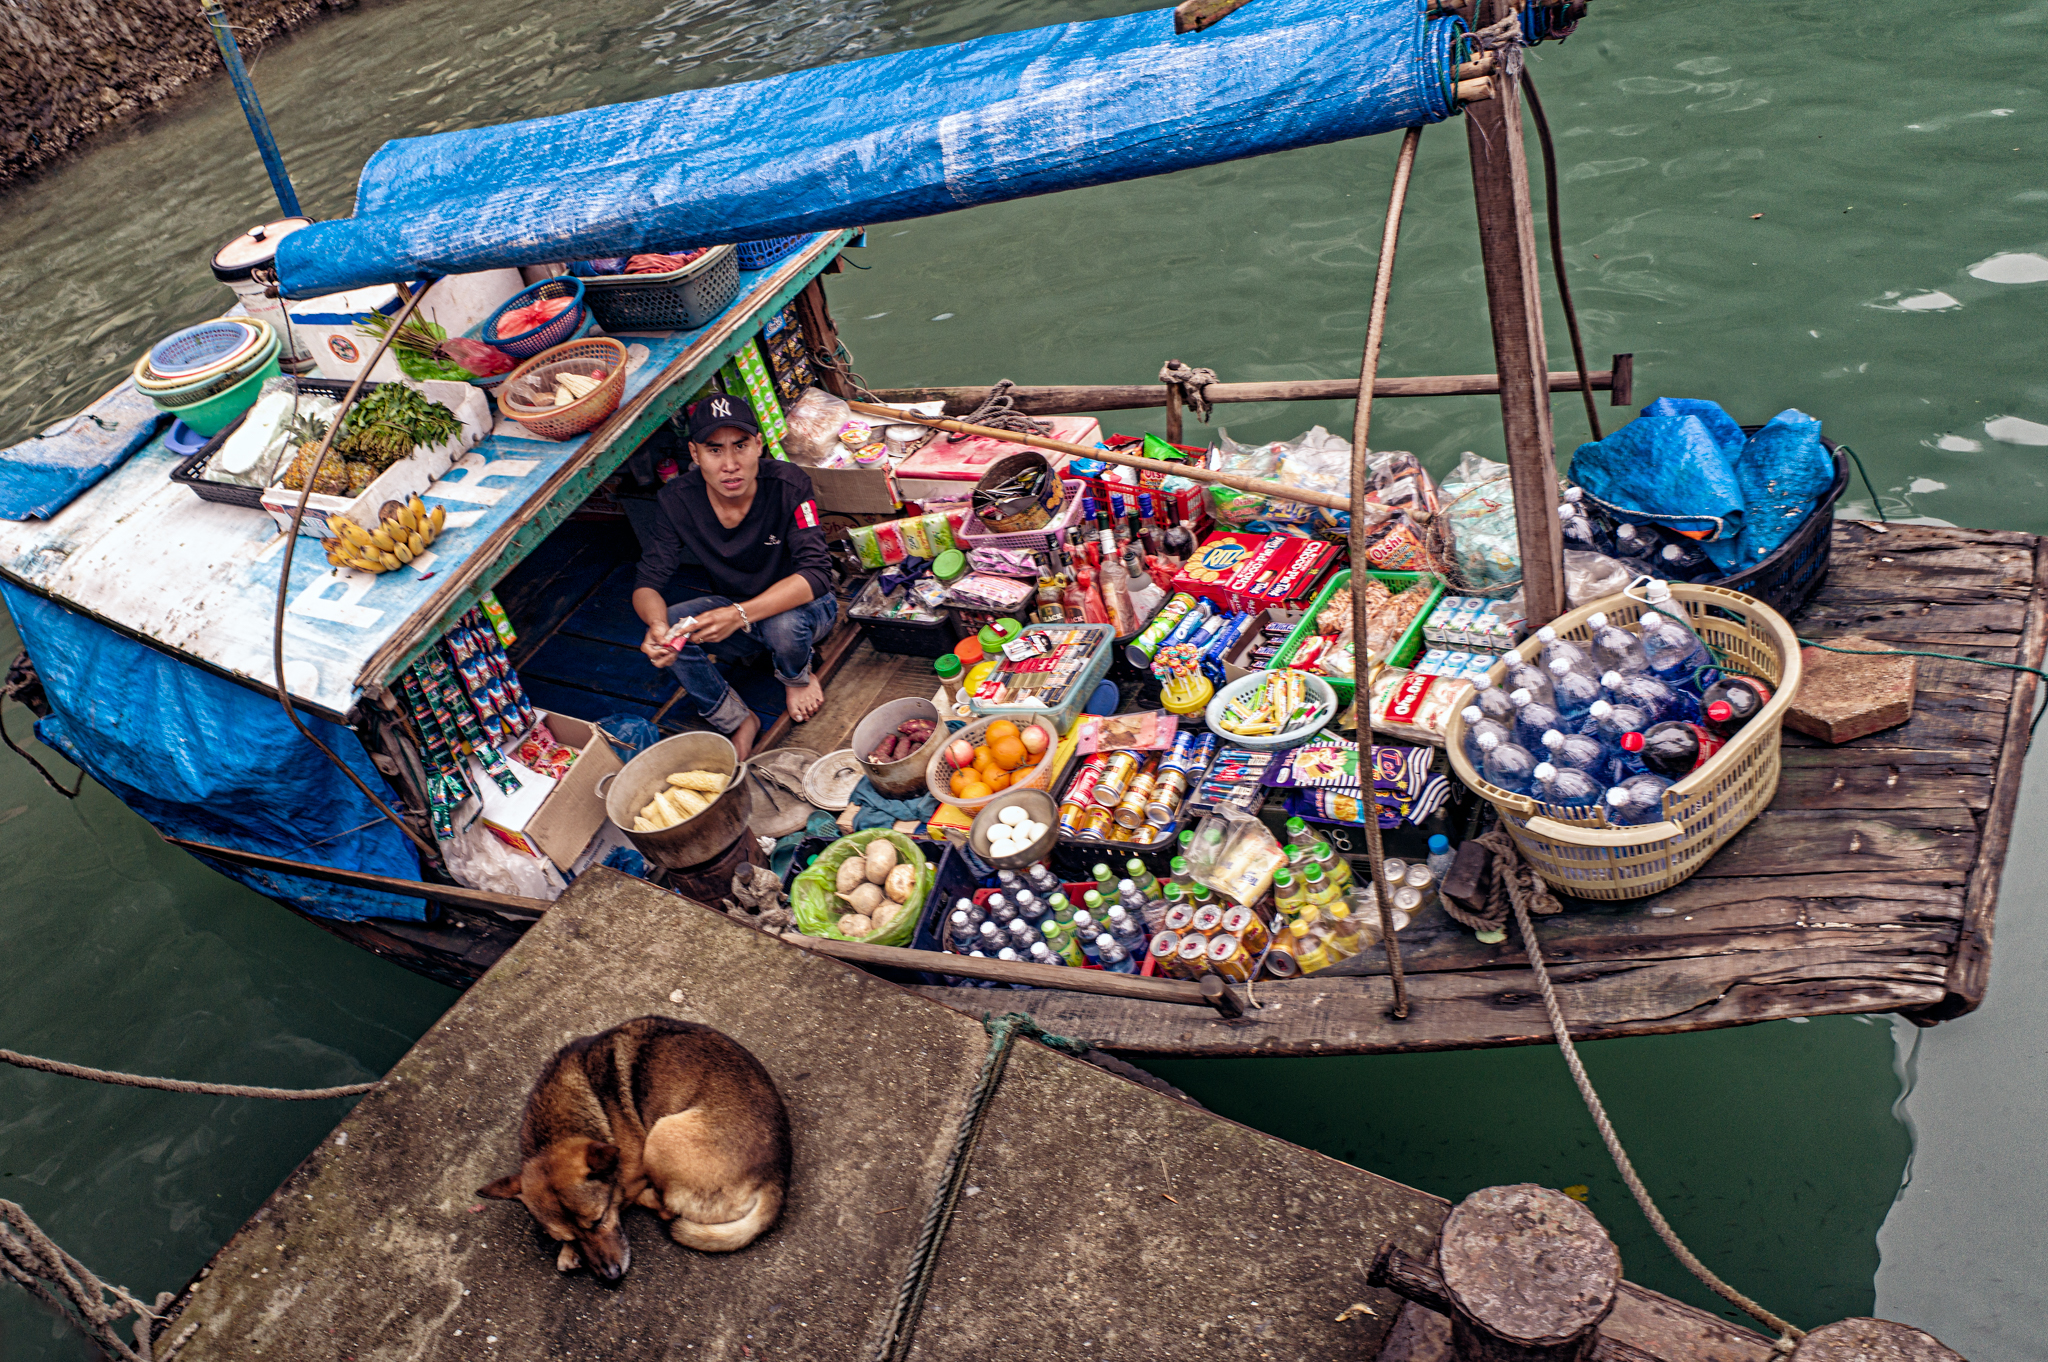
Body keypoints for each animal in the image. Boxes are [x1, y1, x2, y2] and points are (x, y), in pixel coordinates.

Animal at [479, 1015, 790, 1278]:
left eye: (598, 1220)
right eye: (568, 1237)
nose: (610, 1276)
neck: (553, 1132)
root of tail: (776, 1178)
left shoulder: (630, 1171)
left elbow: (622, 1193)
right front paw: (568, 1252)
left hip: (661, 1134)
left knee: (666, 1209)